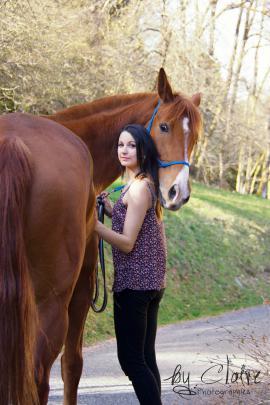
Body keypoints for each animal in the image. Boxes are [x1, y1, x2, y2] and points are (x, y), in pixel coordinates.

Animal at [0, 68, 200, 404]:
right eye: (164, 126)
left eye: (195, 137)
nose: (178, 193)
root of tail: (13, 141)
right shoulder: (83, 285)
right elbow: (72, 364)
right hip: (51, 303)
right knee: (40, 377)